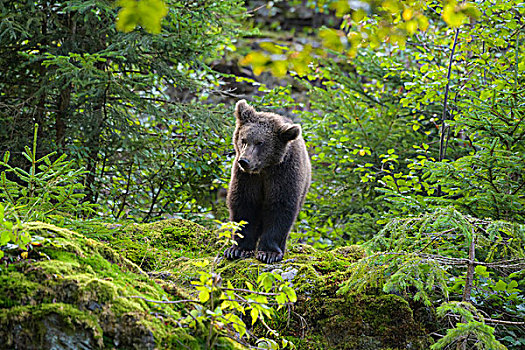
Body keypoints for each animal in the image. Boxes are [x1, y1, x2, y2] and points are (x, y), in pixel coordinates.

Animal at [222, 100, 312, 264]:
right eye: (243, 139)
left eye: (260, 142)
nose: (244, 161)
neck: (264, 169)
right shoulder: (247, 178)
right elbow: (244, 205)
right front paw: (237, 249)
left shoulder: (283, 173)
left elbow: (280, 207)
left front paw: (269, 253)